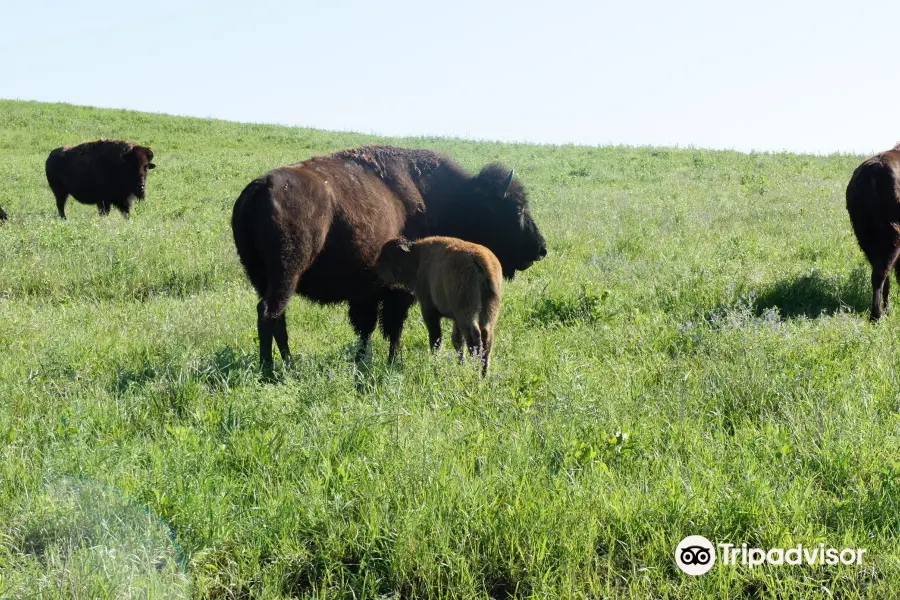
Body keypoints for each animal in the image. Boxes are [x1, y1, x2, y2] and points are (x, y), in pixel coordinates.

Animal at [374, 234, 502, 376]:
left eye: (387, 257)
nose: (376, 273)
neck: (417, 258)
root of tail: (480, 260)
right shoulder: (455, 318)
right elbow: (457, 340)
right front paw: (460, 365)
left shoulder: (429, 310)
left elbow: (436, 339)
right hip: (489, 309)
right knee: (486, 336)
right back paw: (483, 374)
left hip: (467, 311)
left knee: (474, 336)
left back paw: (474, 371)